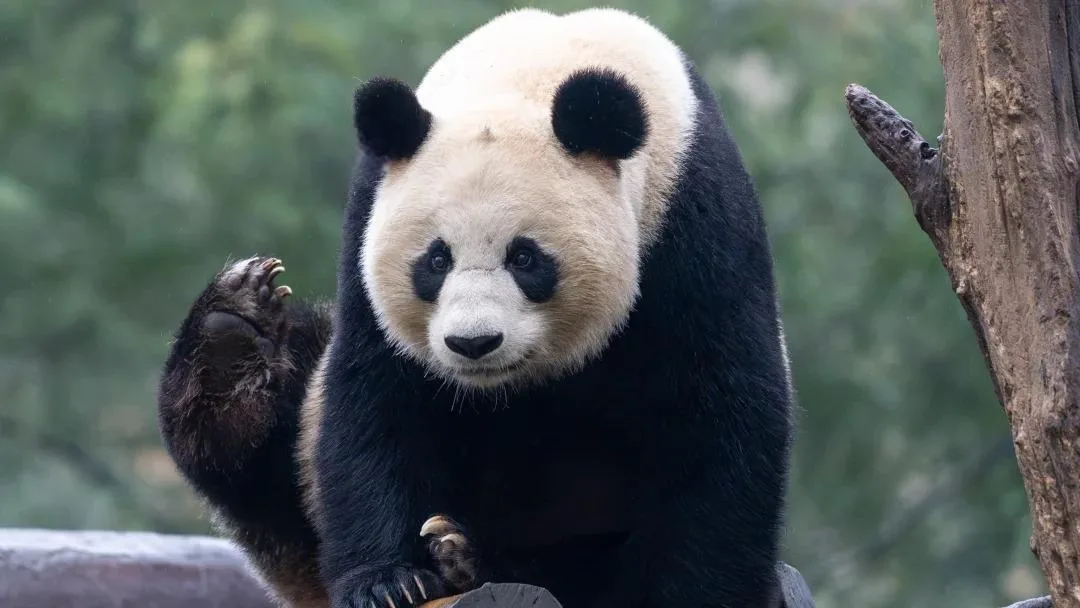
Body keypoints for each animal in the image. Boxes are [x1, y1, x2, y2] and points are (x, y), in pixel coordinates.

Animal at [157, 7, 797, 608]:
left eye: (526, 258)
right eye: (435, 260)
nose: (473, 344)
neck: (533, 71)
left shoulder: (691, 224)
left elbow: (718, 410)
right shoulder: (369, 220)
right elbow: (374, 395)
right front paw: (388, 581)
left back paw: (470, 556)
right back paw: (233, 339)